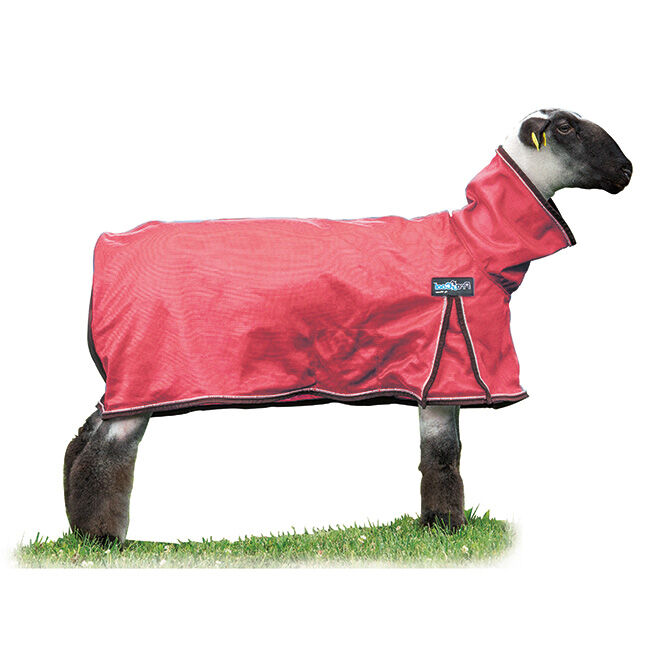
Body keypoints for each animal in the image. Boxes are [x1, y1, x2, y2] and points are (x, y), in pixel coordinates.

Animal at [64, 108, 632, 542]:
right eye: (565, 127)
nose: (627, 171)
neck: (476, 242)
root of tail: (108, 246)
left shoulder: (437, 379)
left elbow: (438, 456)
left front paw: (435, 526)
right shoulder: (446, 372)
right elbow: (444, 458)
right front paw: (448, 529)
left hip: (124, 381)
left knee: (85, 435)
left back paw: (77, 523)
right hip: (143, 375)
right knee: (105, 454)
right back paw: (102, 538)